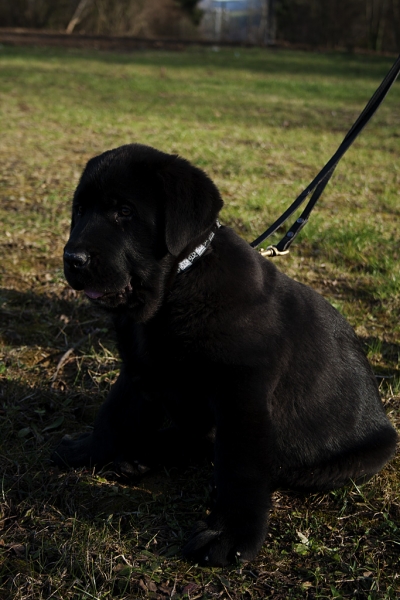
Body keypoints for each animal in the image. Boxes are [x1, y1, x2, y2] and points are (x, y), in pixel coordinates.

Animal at [53, 143, 396, 564]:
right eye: (80, 210)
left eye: (125, 211)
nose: (72, 258)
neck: (175, 289)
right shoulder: (141, 369)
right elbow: (113, 414)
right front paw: (87, 449)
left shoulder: (243, 395)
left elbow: (239, 466)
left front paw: (231, 534)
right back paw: (140, 454)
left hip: (353, 459)